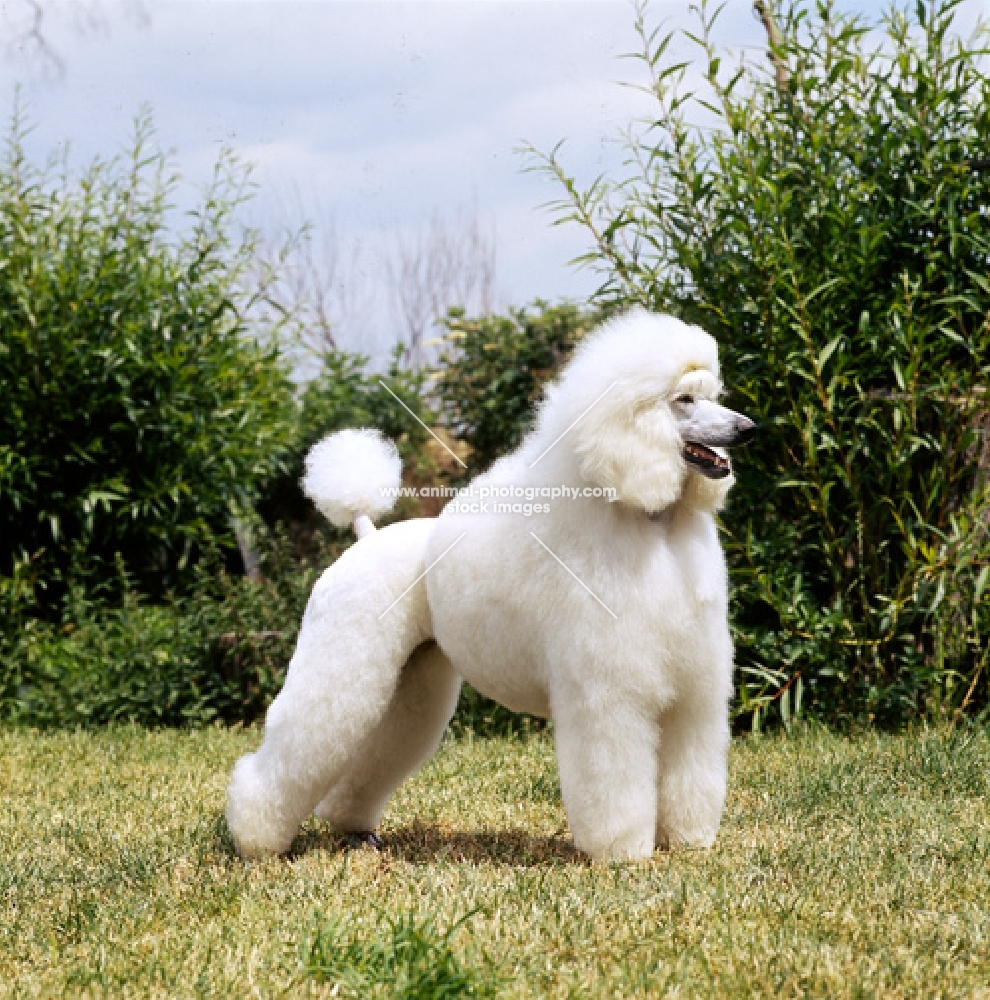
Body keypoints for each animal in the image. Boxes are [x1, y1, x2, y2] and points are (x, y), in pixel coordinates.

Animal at [227, 312, 752, 860]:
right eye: (683, 400)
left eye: (711, 394)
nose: (747, 429)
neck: (653, 526)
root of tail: (365, 535)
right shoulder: (607, 695)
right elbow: (615, 776)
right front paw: (621, 853)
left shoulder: (694, 691)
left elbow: (690, 767)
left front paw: (689, 843)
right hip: (342, 662)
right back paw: (255, 841)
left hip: (409, 684)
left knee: (373, 752)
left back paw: (354, 829)